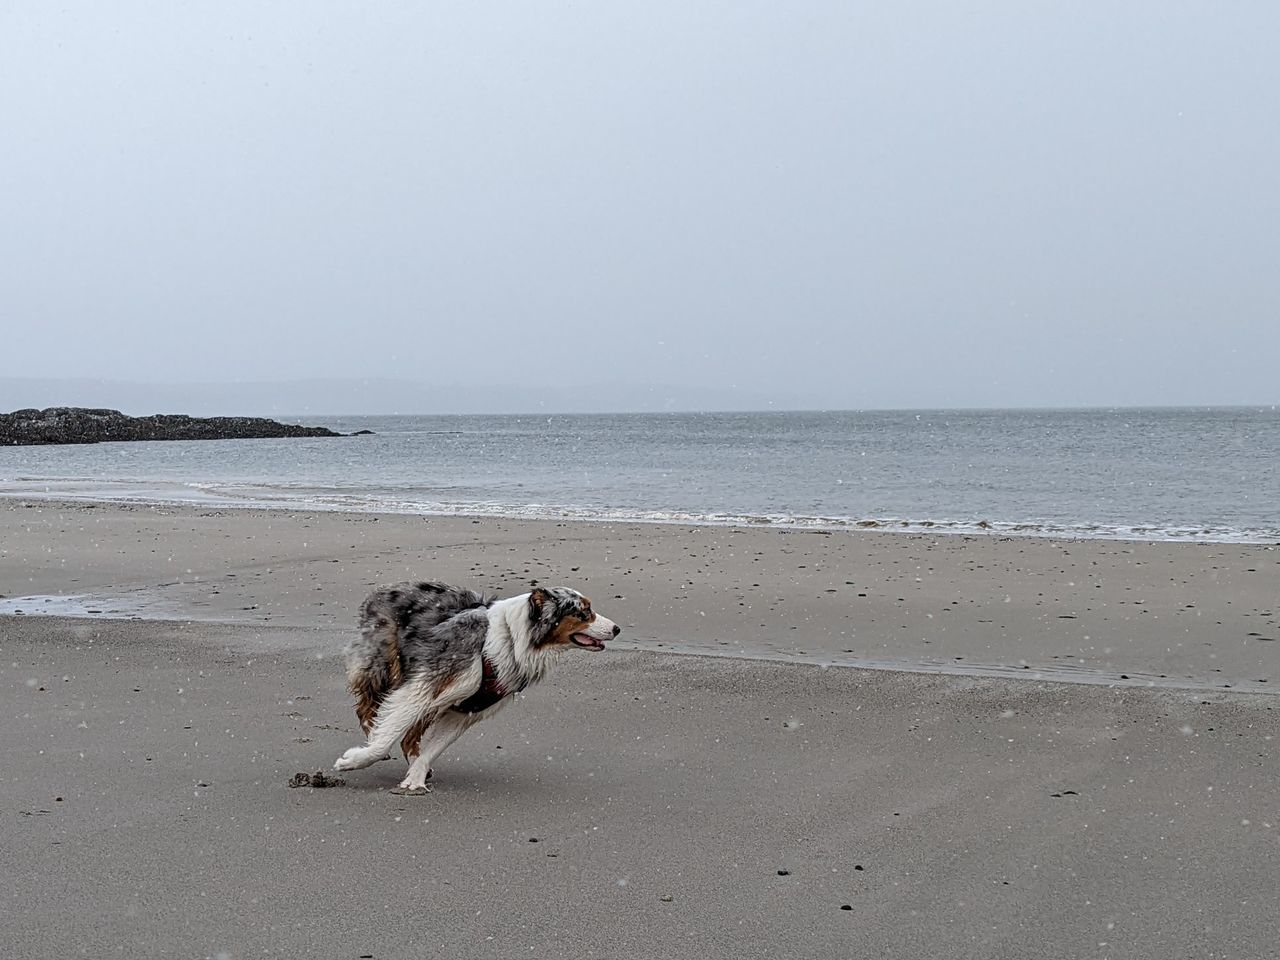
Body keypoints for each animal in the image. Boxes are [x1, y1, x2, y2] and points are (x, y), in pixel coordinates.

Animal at [332, 578, 616, 798]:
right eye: (583, 612)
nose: (617, 628)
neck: (510, 639)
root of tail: (382, 589)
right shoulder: (423, 684)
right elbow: (388, 734)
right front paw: (354, 760)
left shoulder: (466, 709)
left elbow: (434, 748)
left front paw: (415, 779)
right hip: (380, 663)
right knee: (367, 708)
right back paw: (371, 734)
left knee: (409, 735)